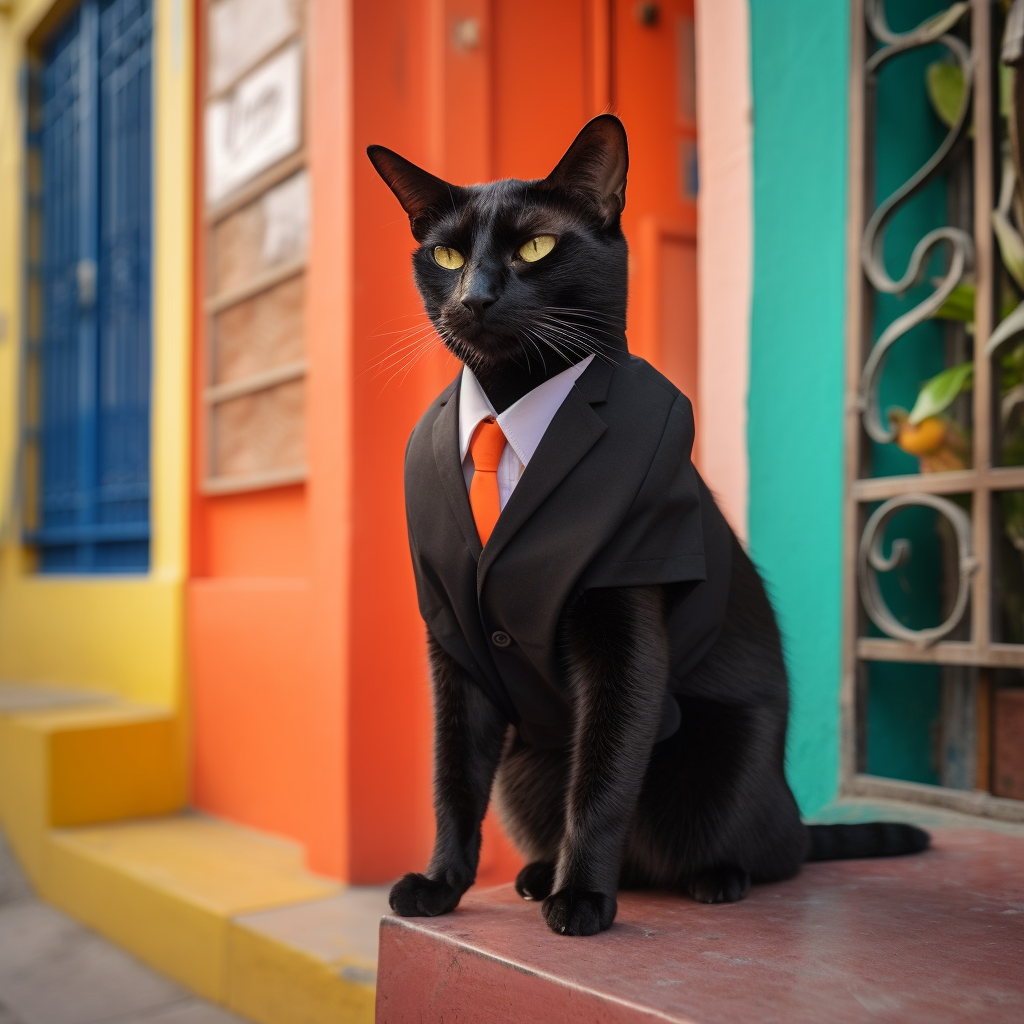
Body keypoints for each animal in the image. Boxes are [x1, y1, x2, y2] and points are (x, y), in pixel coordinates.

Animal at [368, 114, 929, 937]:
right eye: (445, 255)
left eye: (536, 247)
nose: (473, 297)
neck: (508, 405)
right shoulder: (454, 646)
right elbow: (452, 778)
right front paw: (442, 885)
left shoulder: (626, 631)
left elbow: (602, 779)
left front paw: (581, 900)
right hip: (525, 764)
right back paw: (536, 873)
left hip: (725, 759)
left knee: (772, 853)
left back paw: (711, 876)